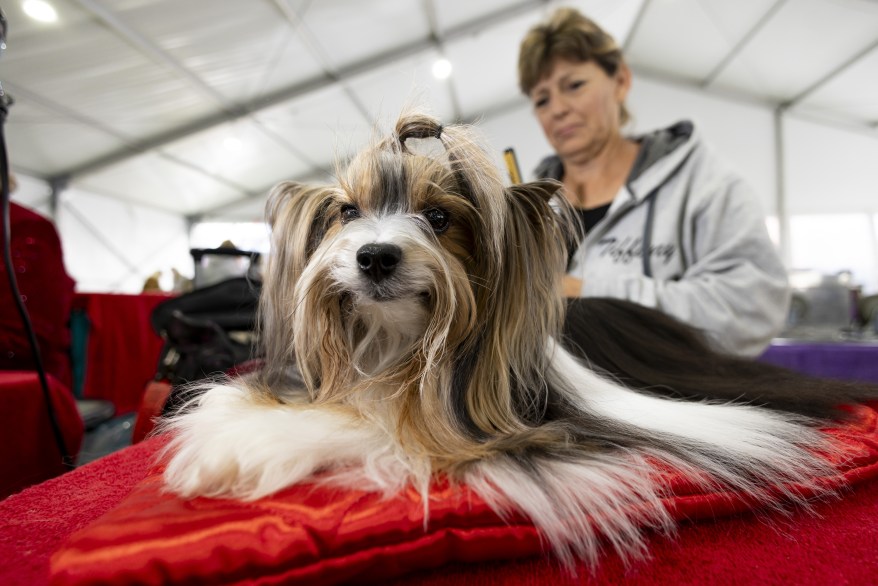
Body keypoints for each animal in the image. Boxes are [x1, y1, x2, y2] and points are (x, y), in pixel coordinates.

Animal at [163, 109, 872, 564]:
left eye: (439, 218)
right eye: (346, 211)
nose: (374, 256)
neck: (398, 344)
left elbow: (378, 427)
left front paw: (242, 450)